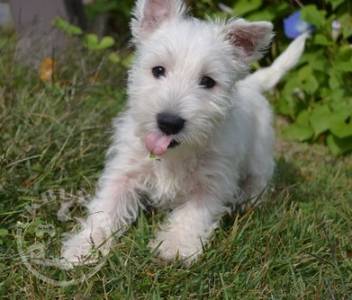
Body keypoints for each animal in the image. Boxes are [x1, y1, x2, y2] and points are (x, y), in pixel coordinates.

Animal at [62, 0, 306, 264]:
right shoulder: (124, 171)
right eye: (158, 70)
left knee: (259, 179)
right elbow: (106, 206)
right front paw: (84, 247)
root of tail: (251, 83)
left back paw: (249, 199)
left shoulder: (212, 183)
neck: (174, 154)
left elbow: (193, 214)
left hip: (259, 154)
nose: (169, 122)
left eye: (208, 81)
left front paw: (175, 246)